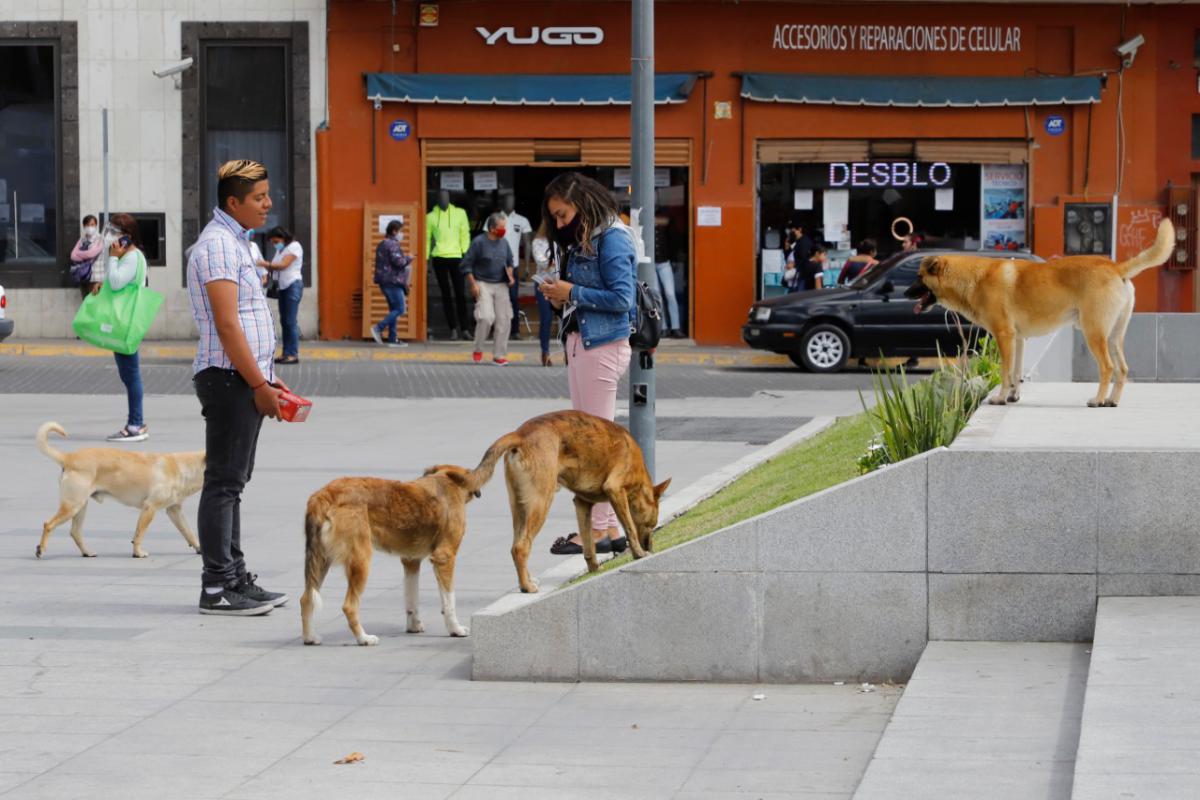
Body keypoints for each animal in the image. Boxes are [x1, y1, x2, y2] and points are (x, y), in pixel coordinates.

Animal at [34, 422, 205, 561]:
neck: (182, 468)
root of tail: (69, 457)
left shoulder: (174, 510)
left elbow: (189, 533)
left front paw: (200, 549)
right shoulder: (149, 508)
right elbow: (139, 534)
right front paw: (138, 553)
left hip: (80, 506)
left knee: (75, 532)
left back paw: (87, 552)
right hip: (72, 505)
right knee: (48, 524)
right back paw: (41, 549)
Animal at [300, 465, 487, 647]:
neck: (446, 480)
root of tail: (324, 494)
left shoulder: (411, 561)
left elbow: (412, 600)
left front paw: (414, 626)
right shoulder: (444, 557)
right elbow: (449, 602)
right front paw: (455, 629)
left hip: (322, 561)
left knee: (306, 599)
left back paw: (310, 637)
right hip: (361, 560)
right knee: (349, 606)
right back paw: (363, 638)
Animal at [472, 412, 672, 594]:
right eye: (651, 524)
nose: (649, 547)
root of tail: (520, 434)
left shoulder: (582, 504)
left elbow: (589, 543)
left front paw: (594, 568)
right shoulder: (615, 490)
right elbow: (630, 528)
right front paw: (639, 554)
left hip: (519, 509)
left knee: (517, 544)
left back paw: (527, 580)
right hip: (541, 502)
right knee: (521, 547)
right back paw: (526, 586)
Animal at [907, 217, 1171, 410]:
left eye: (919, 277)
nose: (906, 292)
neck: (974, 278)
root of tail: (1115, 267)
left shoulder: (1004, 336)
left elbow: (1005, 372)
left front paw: (1000, 398)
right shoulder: (1018, 339)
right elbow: (1015, 372)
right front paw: (1013, 396)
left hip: (1094, 333)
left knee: (1107, 367)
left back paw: (1097, 400)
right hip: (1114, 336)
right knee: (1122, 368)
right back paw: (1112, 401)